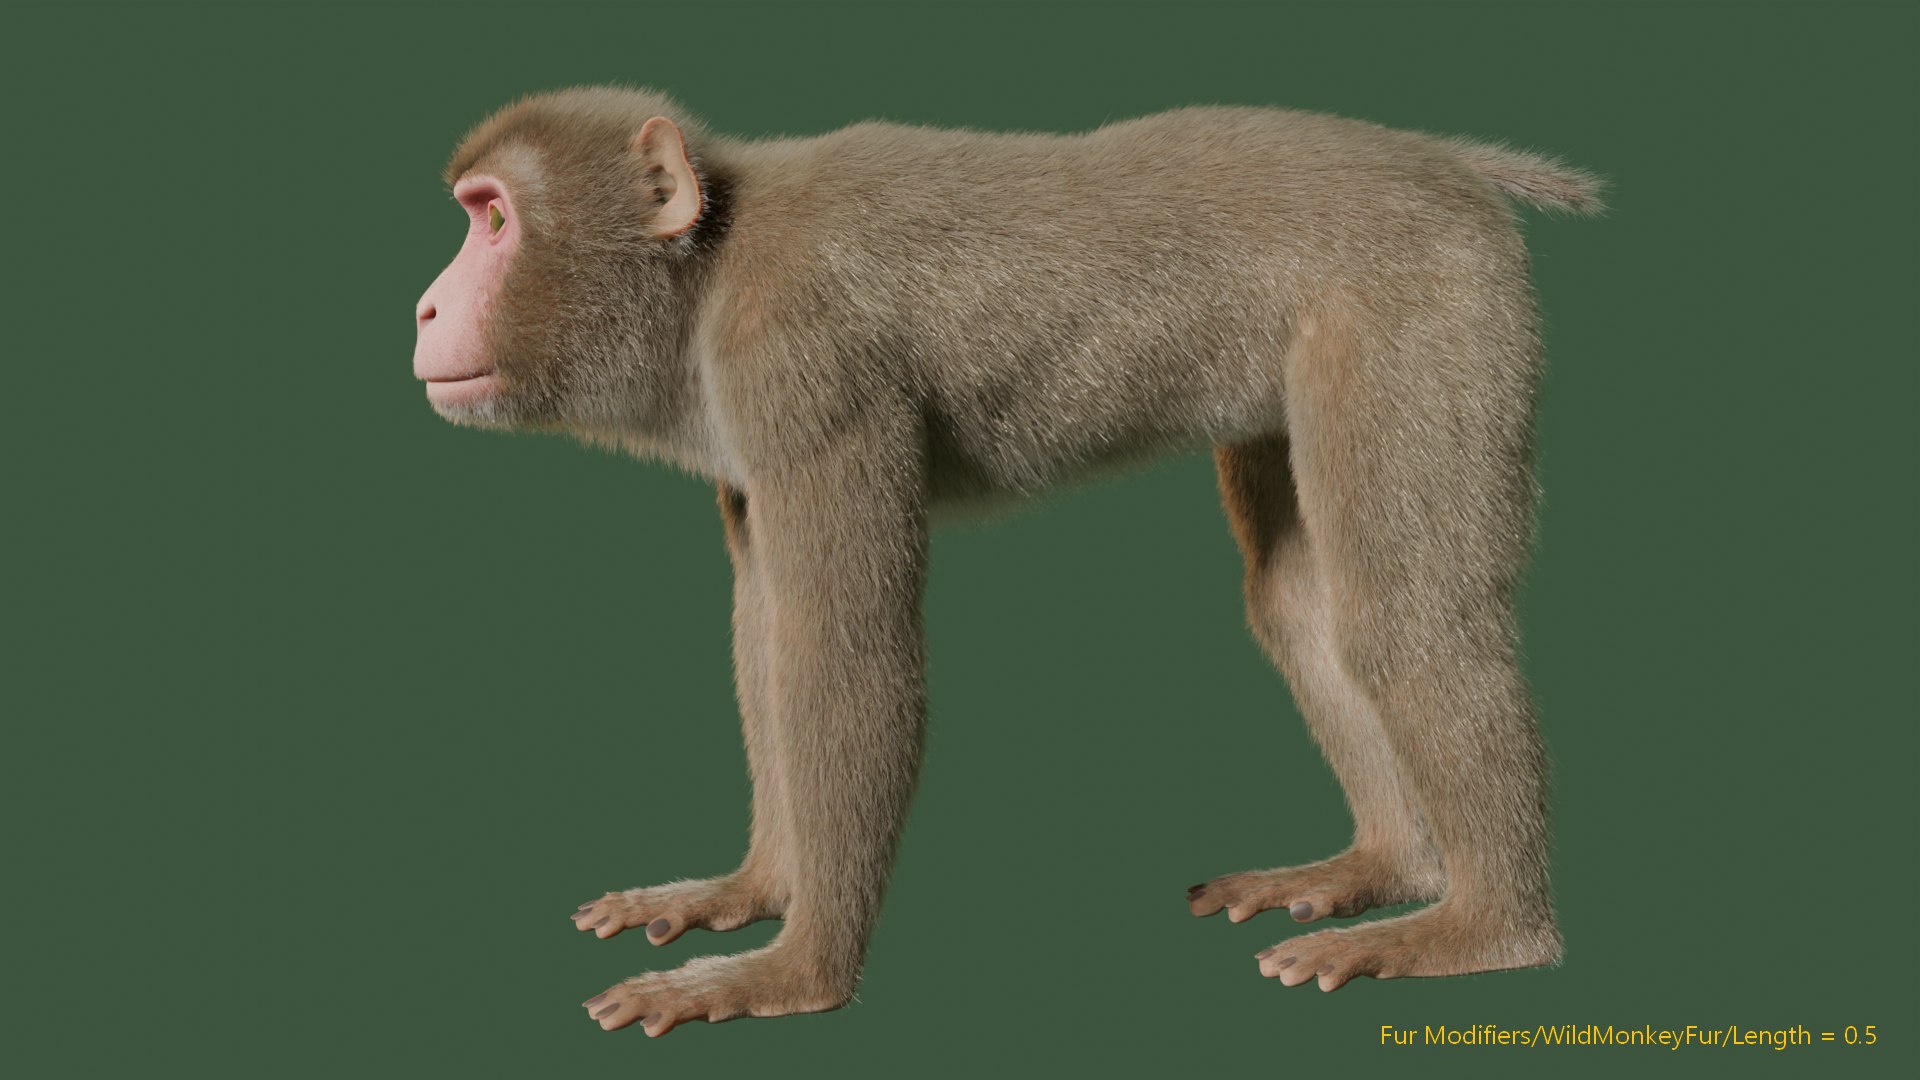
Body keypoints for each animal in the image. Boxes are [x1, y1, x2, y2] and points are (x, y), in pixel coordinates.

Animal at [411, 85, 1603, 1035]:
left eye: (493, 220)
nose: (424, 305)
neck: (710, 260)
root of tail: (1443, 162)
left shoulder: (802, 360)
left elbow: (847, 656)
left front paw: (796, 974)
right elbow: (770, 632)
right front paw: (754, 888)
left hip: (1431, 303)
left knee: (1403, 615)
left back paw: (1486, 928)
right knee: (1303, 603)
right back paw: (1391, 866)